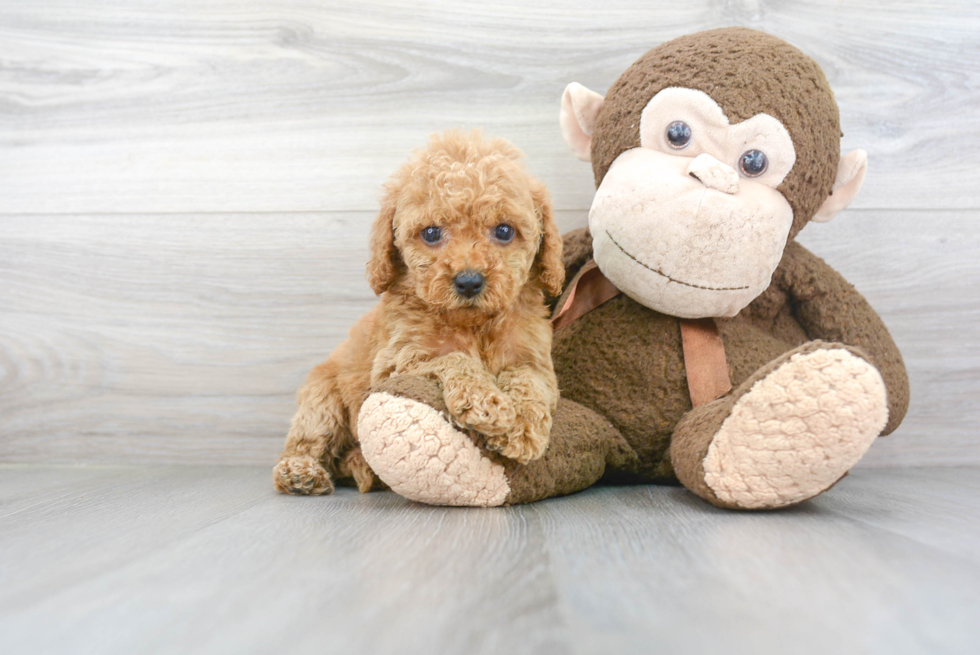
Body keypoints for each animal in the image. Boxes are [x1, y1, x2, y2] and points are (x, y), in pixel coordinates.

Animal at [276, 129, 568, 498]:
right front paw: (487, 404)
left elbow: (528, 382)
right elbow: (453, 358)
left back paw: (363, 468)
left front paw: (523, 429)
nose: (469, 281)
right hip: (322, 398)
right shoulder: (398, 362)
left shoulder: (535, 361)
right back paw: (300, 473)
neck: (473, 325)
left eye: (504, 231)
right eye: (431, 233)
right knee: (307, 440)